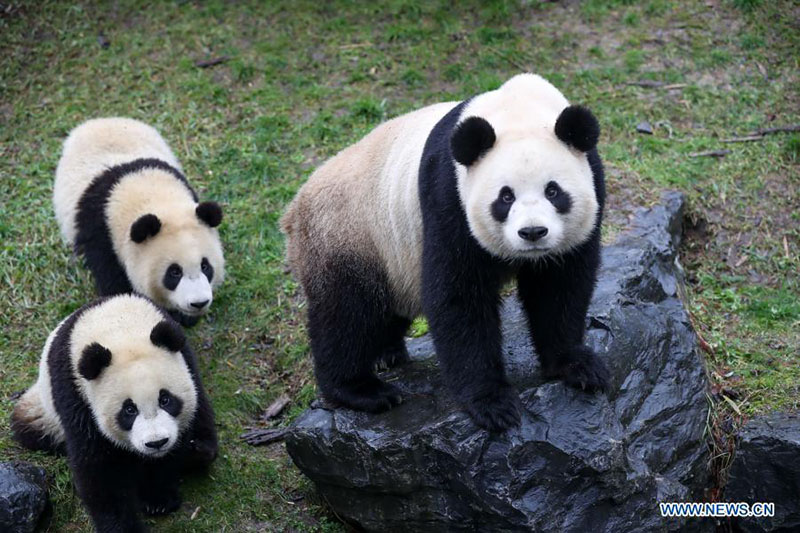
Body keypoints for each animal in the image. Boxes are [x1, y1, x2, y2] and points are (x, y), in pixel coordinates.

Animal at [10, 294, 218, 531]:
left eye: (165, 399)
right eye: (129, 410)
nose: (156, 443)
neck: (119, 328)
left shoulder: (187, 362)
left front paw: (158, 498)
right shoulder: (75, 395)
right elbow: (100, 470)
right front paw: (125, 526)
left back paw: (198, 451)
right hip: (45, 412)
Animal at [53, 117, 225, 327]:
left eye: (205, 266)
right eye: (174, 272)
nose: (199, 303)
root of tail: (101, 120)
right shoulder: (102, 233)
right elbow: (114, 281)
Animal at [281, 73, 609, 432]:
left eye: (553, 191)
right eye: (505, 197)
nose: (533, 233)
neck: (518, 110)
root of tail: (294, 209)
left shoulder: (592, 179)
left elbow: (559, 286)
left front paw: (577, 366)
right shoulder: (447, 194)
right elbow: (458, 294)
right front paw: (492, 403)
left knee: (382, 312)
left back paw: (385, 353)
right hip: (347, 234)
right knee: (346, 314)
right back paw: (361, 390)